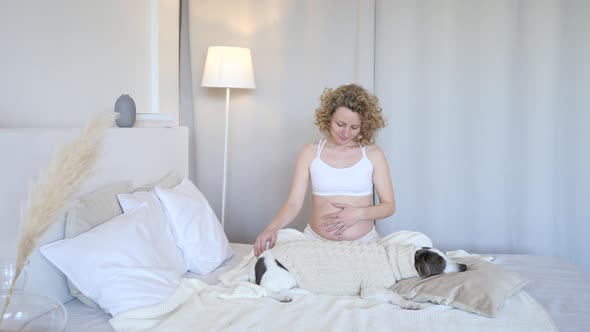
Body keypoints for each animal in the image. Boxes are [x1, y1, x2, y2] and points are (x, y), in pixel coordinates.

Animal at [249, 232, 468, 310]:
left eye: (445, 254)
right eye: (439, 262)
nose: (465, 267)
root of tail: (260, 259)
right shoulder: (370, 288)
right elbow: (392, 294)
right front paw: (407, 303)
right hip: (284, 274)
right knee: (266, 291)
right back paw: (283, 296)